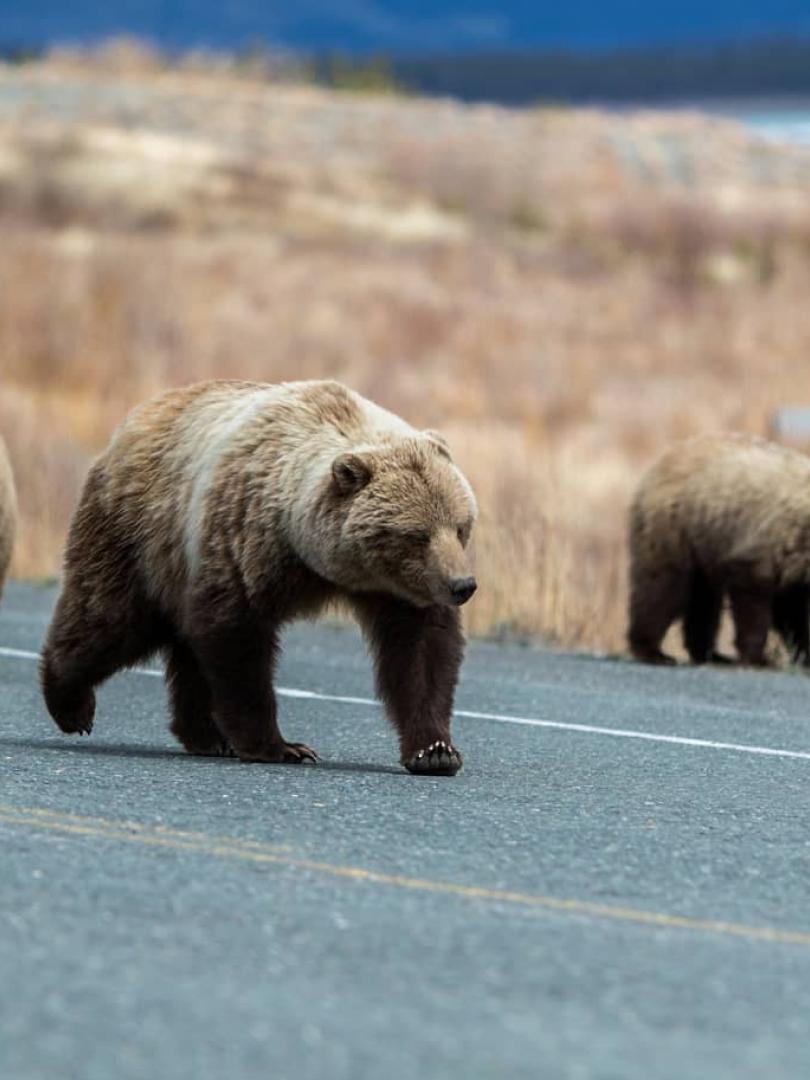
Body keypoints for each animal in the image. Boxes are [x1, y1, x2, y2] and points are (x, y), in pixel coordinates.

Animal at [41, 380, 478, 775]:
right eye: (416, 535)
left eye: (460, 526)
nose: (463, 585)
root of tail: (135, 418)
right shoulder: (244, 541)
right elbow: (239, 642)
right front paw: (281, 747)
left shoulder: (399, 591)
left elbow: (421, 654)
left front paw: (436, 751)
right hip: (140, 535)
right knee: (110, 617)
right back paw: (70, 704)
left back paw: (205, 736)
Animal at [628, 433, 810, 668]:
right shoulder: (768, 542)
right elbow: (755, 600)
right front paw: (759, 658)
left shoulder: (794, 563)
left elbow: (791, 607)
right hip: (675, 527)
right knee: (662, 586)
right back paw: (653, 651)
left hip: (702, 545)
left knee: (702, 598)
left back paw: (711, 654)